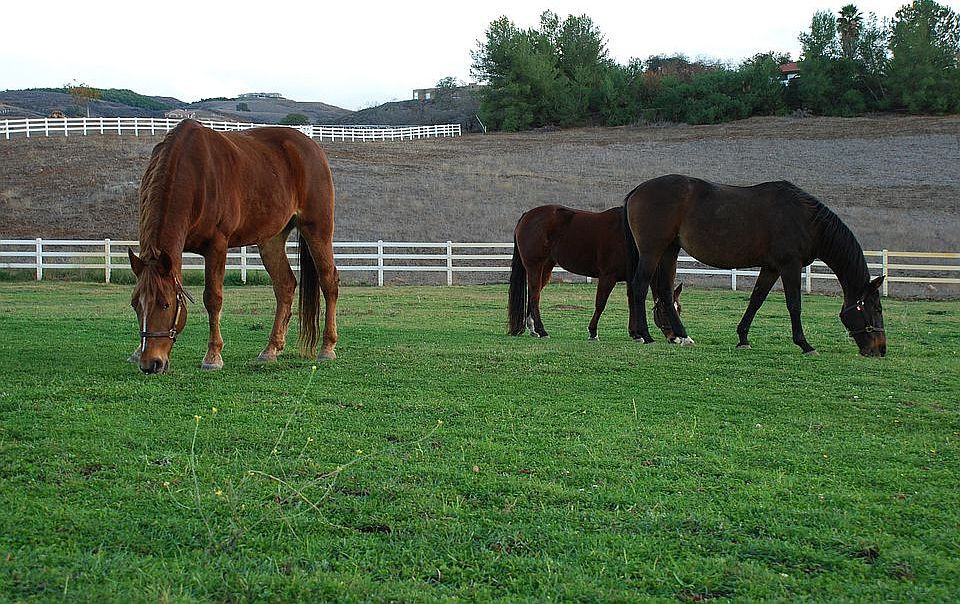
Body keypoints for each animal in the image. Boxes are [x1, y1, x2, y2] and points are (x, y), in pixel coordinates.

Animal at [127, 119, 339, 374]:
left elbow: (213, 298)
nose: (151, 363)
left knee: (329, 282)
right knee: (285, 285)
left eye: (166, 305)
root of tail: (311, 147)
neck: (193, 173)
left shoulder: (217, 246)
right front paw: (136, 352)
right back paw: (271, 349)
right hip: (271, 240)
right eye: (135, 305)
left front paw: (213, 356)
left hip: (317, 230)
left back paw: (327, 348)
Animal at [508, 204, 683, 340]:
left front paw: (635, 334)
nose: (675, 338)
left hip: (546, 267)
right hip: (534, 267)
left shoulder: (630, 277)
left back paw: (533, 329)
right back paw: (542, 330)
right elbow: (600, 304)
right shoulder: (607, 277)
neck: (630, 238)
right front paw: (593, 332)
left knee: (533, 294)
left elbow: (632, 301)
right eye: (666, 310)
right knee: (535, 296)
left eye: (679, 308)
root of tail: (527, 215)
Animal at [623, 174, 886, 356]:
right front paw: (804, 344)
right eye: (877, 309)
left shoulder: (771, 267)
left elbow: (756, 300)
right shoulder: (790, 266)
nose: (881, 350)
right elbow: (794, 305)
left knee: (666, 293)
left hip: (670, 249)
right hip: (652, 251)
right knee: (639, 286)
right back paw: (645, 335)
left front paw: (743, 338)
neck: (806, 219)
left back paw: (681, 336)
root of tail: (638, 190)